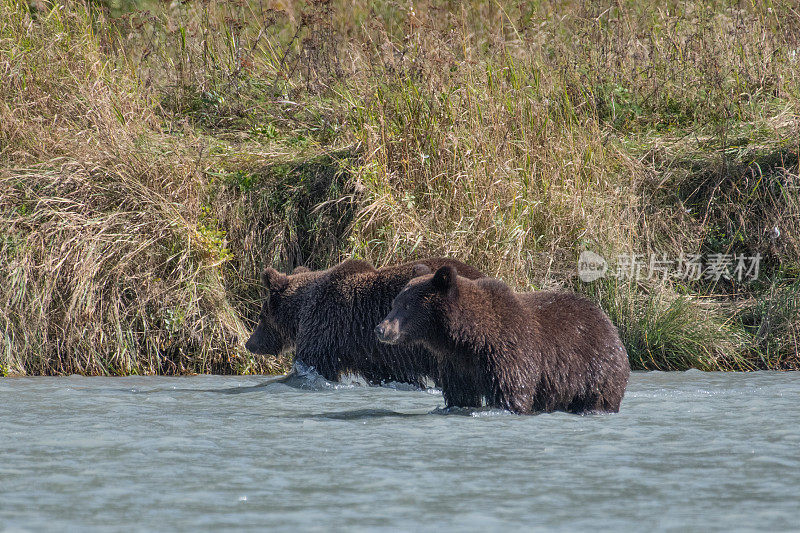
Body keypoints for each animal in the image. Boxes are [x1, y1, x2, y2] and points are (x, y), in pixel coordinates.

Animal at [244, 258, 484, 386]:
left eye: (261, 316)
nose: (249, 343)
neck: (301, 309)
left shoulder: (325, 330)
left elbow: (310, 366)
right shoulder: (378, 357)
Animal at [376, 264, 632, 414]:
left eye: (406, 305)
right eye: (394, 303)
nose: (381, 329)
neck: (468, 339)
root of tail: (608, 322)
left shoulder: (508, 353)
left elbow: (511, 393)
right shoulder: (457, 364)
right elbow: (460, 395)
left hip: (596, 367)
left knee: (599, 397)